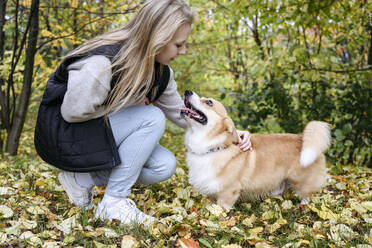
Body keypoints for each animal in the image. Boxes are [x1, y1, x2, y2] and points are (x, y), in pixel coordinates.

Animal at [179, 90, 330, 208]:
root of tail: (303, 138)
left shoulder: (227, 193)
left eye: (209, 102)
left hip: (302, 183)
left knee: (307, 196)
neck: (214, 147)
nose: (187, 91)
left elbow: (221, 210)